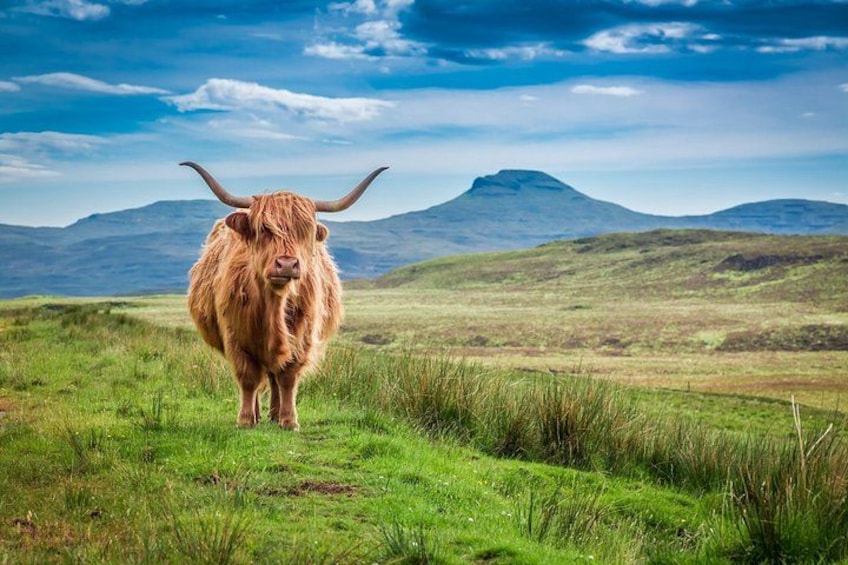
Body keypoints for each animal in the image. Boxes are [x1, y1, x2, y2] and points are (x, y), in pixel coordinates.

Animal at [181, 161, 388, 430]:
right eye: (263, 229)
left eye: (305, 232)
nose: (287, 264)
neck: (273, 306)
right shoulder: (235, 335)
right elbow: (248, 378)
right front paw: (245, 420)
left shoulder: (302, 335)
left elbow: (287, 377)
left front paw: (289, 420)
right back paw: (259, 414)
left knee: (274, 375)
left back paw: (274, 413)